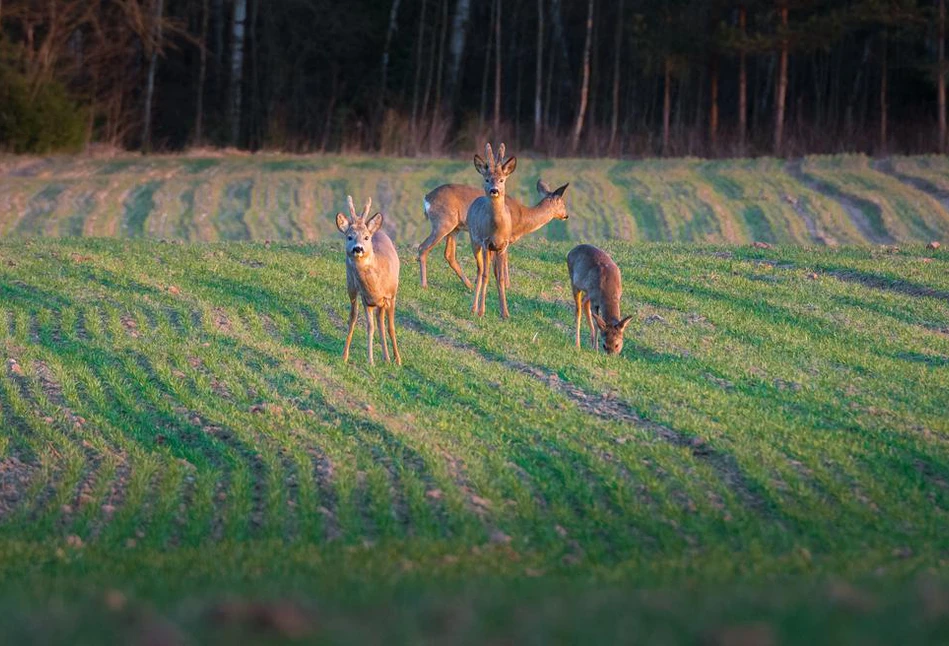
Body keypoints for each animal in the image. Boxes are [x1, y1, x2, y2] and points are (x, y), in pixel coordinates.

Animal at [336, 195, 402, 368]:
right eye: (349, 236)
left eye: (366, 237)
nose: (358, 248)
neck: (376, 285)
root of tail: (377, 231)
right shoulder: (367, 300)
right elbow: (370, 327)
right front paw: (371, 360)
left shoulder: (391, 296)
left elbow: (390, 327)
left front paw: (397, 359)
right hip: (351, 287)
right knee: (353, 317)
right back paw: (344, 355)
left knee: (381, 322)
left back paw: (387, 357)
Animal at [416, 177, 568, 288]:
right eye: (562, 203)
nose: (566, 216)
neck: (522, 216)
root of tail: (426, 198)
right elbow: (503, 260)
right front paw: (507, 286)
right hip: (443, 222)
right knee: (423, 247)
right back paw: (424, 284)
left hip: (454, 228)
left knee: (449, 255)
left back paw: (469, 285)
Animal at [464, 145, 516, 322]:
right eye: (487, 179)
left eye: (502, 180)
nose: (494, 190)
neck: (496, 230)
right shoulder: (486, 242)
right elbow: (485, 275)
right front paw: (481, 311)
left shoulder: (503, 246)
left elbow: (500, 277)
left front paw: (505, 313)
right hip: (474, 242)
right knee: (480, 271)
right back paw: (473, 308)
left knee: (490, 272)